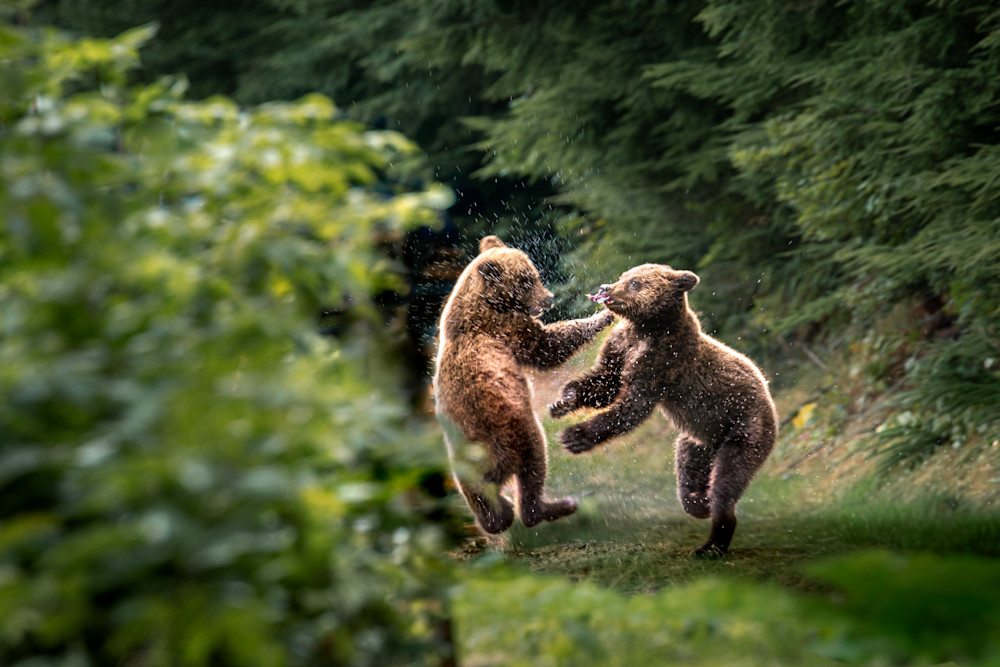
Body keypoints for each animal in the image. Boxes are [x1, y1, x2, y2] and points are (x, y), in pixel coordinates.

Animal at [433, 236, 616, 534]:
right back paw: (557, 505)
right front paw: (603, 315)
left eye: (534, 274)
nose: (549, 297)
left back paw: (501, 513)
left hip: (462, 460)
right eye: (527, 280)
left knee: (479, 496)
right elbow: (549, 344)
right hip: (514, 429)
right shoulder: (506, 329)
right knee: (534, 464)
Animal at [548, 263, 777, 557]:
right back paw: (698, 501)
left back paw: (711, 543)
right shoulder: (622, 346)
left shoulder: (662, 363)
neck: (647, 328)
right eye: (624, 276)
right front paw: (562, 402)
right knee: (688, 470)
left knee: (727, 480)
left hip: (745, 427)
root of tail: (770, 399)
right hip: (698, 442)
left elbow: (631, 408)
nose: (605, 288)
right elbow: (604, 382)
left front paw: (574, 436)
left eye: (634, 282)